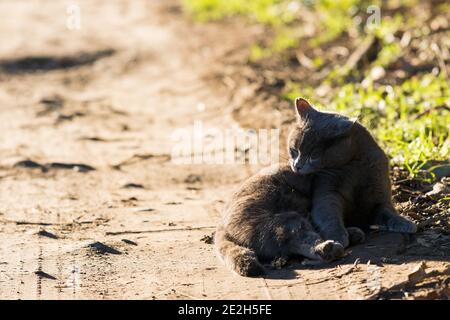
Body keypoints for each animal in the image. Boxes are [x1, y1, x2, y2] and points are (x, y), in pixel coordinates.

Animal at [216, 97, 416, 278]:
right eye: (294, 150)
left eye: (313, 156)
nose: (296, 166)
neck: (355, 166)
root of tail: (221, 227)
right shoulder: (327, 194)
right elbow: (329, 216)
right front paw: (338, 236)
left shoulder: (380, 197)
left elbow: (388, 212)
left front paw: (407, 224)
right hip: (283, 219)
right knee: (296, 240)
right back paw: (332, 246)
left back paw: (353, 234)